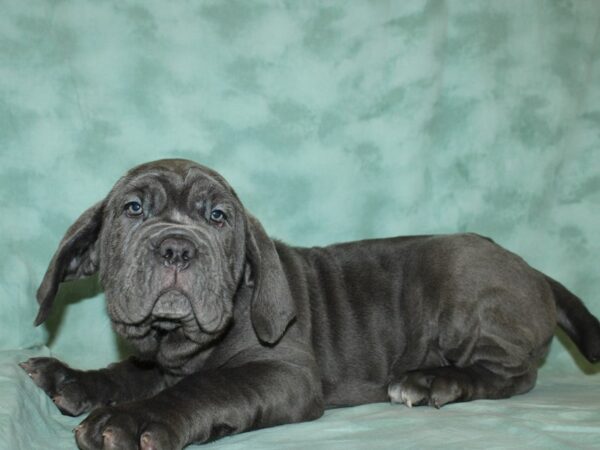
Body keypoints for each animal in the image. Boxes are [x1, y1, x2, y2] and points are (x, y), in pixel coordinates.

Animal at [19, 159, 600, 450]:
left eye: (218, 217)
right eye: (134, 209)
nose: (177, 247)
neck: (178, 346)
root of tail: (532, 269)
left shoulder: (284, 374)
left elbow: (206, 388)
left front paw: (135, 420)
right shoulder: (155, 362)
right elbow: (127, 372)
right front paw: (72, 378)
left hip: (462, 280)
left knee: (513, 374)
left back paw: (431, 380)